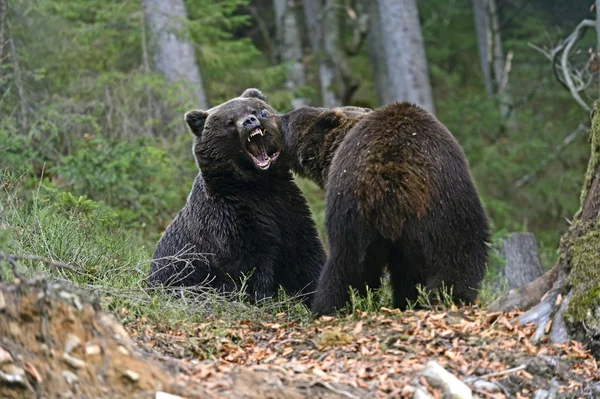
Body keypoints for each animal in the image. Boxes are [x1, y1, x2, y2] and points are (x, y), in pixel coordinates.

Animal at [148, 90, 326, 304]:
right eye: (230, 121)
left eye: (255, 110)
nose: (249, 121)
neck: (257, 185)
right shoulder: (231, 218)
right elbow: (248, 266)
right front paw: (263, 299)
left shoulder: (287, 207)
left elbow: (305, 254)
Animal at [274, 103, 490, 316]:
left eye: (287, 119)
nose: (271, 116)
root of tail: (393, 175)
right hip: (446, 209)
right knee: (457, 257)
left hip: (357, 209)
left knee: (345, 266)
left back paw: (328, 308)